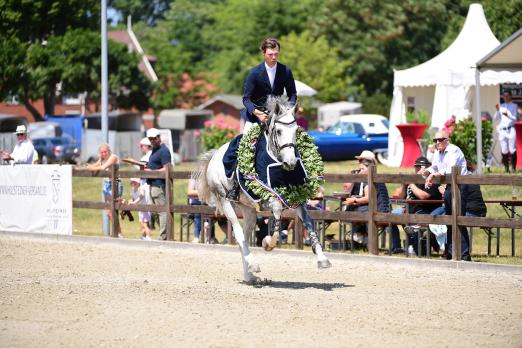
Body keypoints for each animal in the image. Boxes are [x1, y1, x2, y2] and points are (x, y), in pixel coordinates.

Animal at [191, 95, 330, 282]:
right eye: (278, 131)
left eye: (296, 131)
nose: (291, 163)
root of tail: (213, 157)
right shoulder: (267, 198)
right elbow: (277, 218)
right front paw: (267, 243)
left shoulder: (298, 198)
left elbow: (309, 224)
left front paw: (323, 259)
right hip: (225, 200)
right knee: (238, 232)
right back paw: (253, 266)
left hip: (248, 208)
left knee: (244, 237)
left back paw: (249, 274)